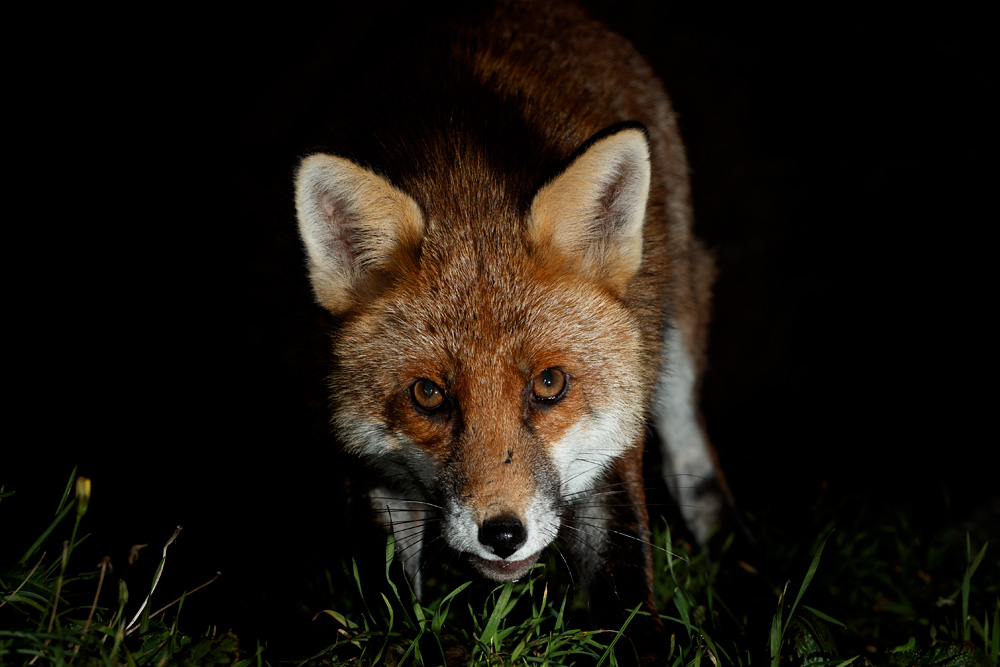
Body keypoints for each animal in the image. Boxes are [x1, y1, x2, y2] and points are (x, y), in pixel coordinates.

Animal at [293, 0, 728, 654]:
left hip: (672, 343)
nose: (502, 535)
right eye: (429, 394)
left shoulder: (610, 455)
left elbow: (627, 597)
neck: (464, 177)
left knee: (700, 474)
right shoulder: (372, 471)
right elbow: (396, 615)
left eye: (549, 384)